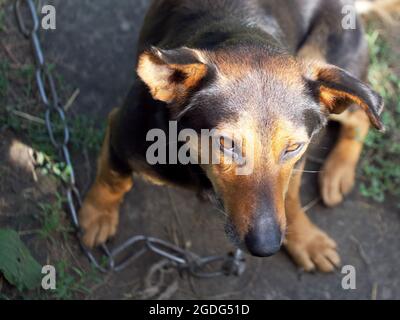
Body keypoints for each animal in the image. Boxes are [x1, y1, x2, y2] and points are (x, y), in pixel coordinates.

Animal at [76, 0, 386, 272]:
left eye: (293, 147)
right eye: (226, 144)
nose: (266, 246)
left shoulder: (299, 160)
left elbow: (290, 195)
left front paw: (306, 239)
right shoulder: (122, 132)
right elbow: (114, 179)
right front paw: (97, 216)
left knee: (361, 117)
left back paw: (338, 172)